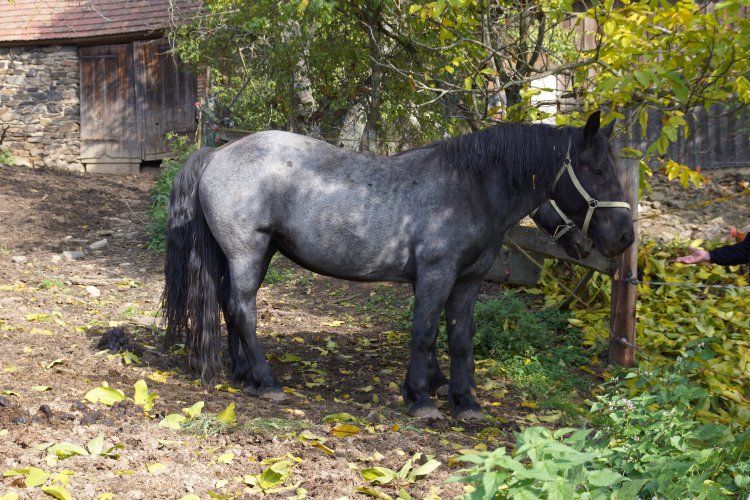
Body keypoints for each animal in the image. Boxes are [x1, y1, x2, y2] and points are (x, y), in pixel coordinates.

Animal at [164, 111, 636, 420]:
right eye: (595, 169)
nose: (624, 238)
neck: (469, 188)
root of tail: (216, 155)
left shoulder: (466, 282)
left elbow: (460, 341)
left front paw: (465, 402)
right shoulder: (435, 276)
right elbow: (425, 334)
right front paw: (421, 398)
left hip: (250, 256)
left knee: (229, 306)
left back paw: (244, 374)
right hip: (247, 254)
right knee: (242, 310)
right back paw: (267, 382)